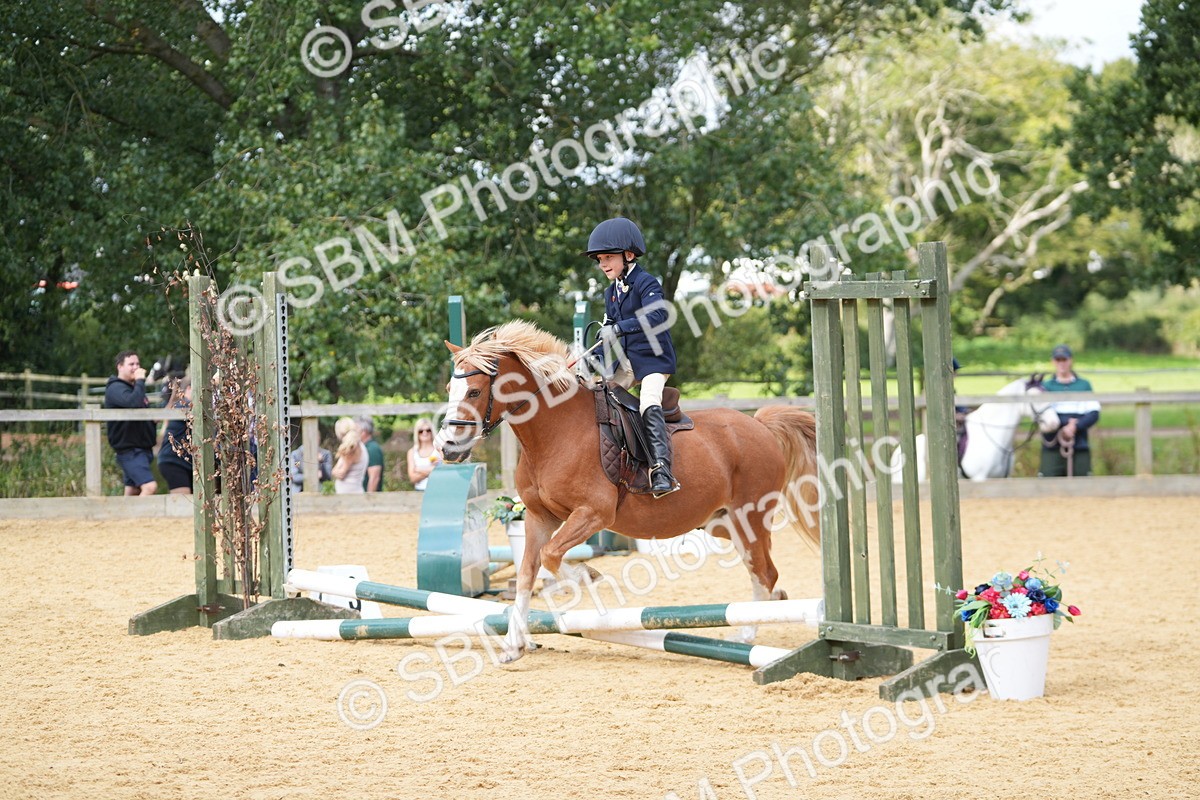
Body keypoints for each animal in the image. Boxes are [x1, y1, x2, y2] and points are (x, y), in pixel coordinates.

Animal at [439, 320, 820, 662]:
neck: (554, 432)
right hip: (721, 522)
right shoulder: (538, 517)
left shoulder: (593, 513)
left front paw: (588, 576)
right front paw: (514, 646)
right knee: (762, 571)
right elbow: (527, 573)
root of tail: (760, 425)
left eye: (474, 392)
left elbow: (551, 556)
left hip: (750, 517)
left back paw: (747, 633)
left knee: (764, 571)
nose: (447, 448)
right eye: (448, 390)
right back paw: (771, 606)